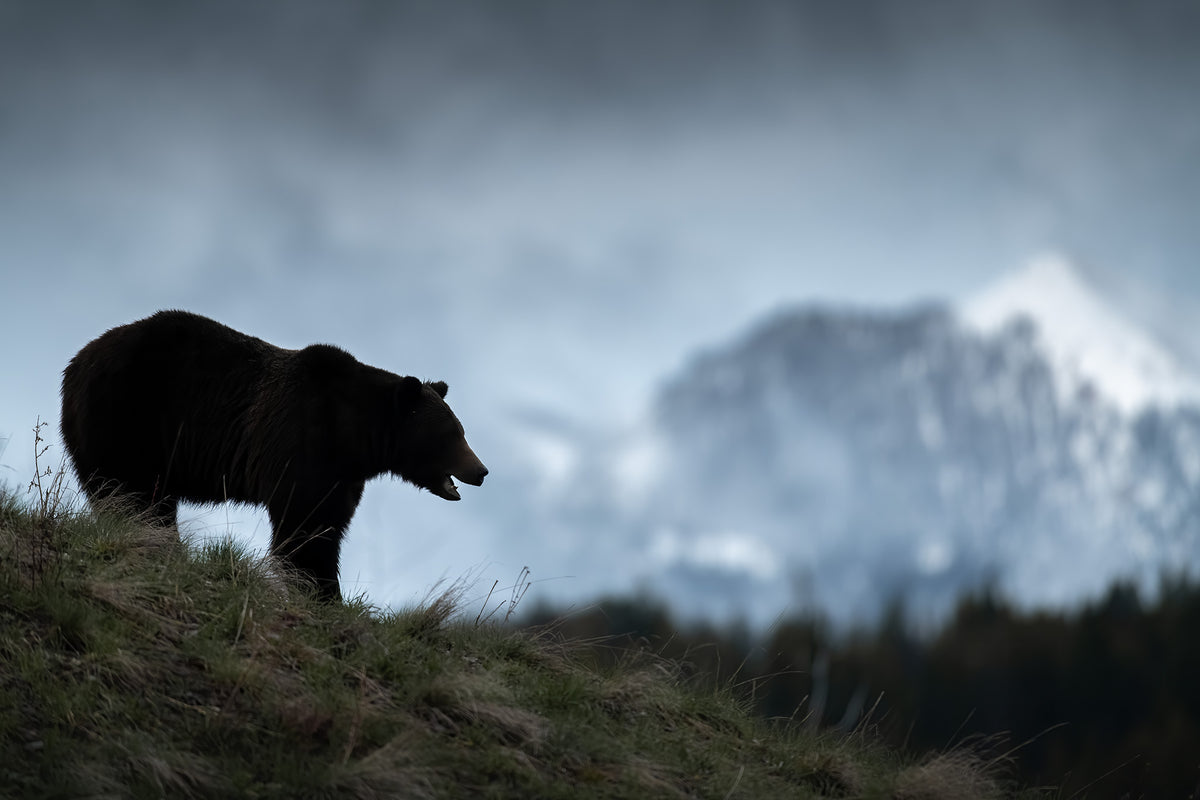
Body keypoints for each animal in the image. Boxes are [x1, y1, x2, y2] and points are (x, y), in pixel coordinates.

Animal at [60, 310, 487, 601]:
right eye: (451, 434)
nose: (481, 470)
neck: (356, 436)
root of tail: (77, 362)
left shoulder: (344, 475)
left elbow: (329, 525)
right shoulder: (303, 439)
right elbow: (305, 526)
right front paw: (322, 593)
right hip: (130, 417)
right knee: (131, 493)